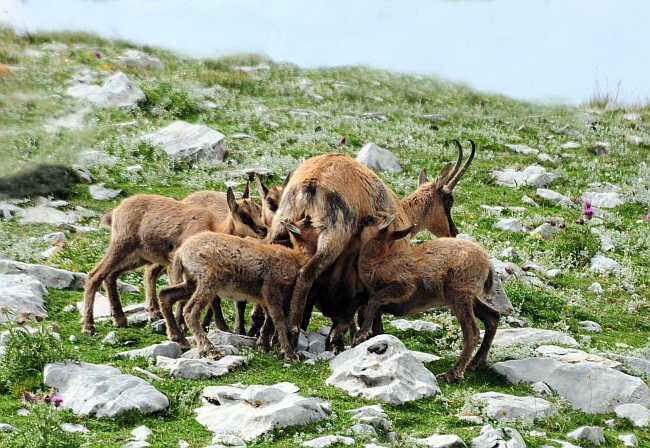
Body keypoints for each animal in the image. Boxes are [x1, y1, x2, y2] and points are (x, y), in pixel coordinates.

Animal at [82, 187, 264, 334]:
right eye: (243, 215)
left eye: (259, 209)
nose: (264, 229)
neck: (213, 227)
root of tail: (118, 209)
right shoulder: (178, 265)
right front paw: (181, 325)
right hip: (121, 246)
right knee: (95, 275)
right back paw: (89, 327)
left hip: (138, 255)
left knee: (112, 275)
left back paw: (120, 319)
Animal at [158, 217, 318, 360]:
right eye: (308, 222)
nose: (310, 218)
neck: (295, 258)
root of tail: (180, 253)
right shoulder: (271, 286)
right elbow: (278, 319)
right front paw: (289, 354)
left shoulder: (263, 296)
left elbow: (268, 318)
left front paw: (264, 345)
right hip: (208, 279)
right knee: (190, 310)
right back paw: (210, 350)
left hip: (192, 282)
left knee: (165, 294)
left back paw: (179, 339)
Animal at [354, 214, 496, 382]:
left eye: (371, 221)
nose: (364, 218)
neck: (377, 263)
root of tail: (488, 264)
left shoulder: (404, 285)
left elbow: (374, 299)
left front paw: (361, 335)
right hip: (467, 296)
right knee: (492, 316)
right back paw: (476, 362)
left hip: (460, 293)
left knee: (472, 331)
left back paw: (451, 374)